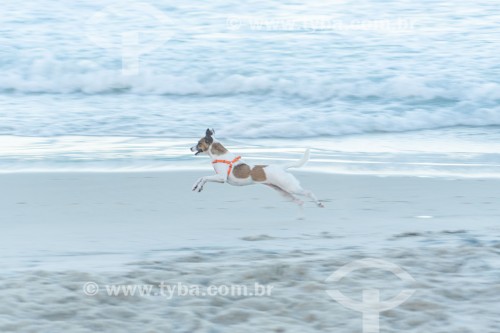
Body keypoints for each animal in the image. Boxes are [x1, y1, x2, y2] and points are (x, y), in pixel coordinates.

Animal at [188, 128, 324, 206]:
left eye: (198, 143)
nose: (190, 148)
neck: (219, 155)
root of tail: (281, 167)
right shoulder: (217, 177)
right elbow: (201, 178)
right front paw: (197, 186)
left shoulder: (221, 178)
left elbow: (204, 177)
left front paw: (198, 185)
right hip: (283, 192)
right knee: (299, 201)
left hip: (291, 188)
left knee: (308, 192)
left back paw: (318, 203)